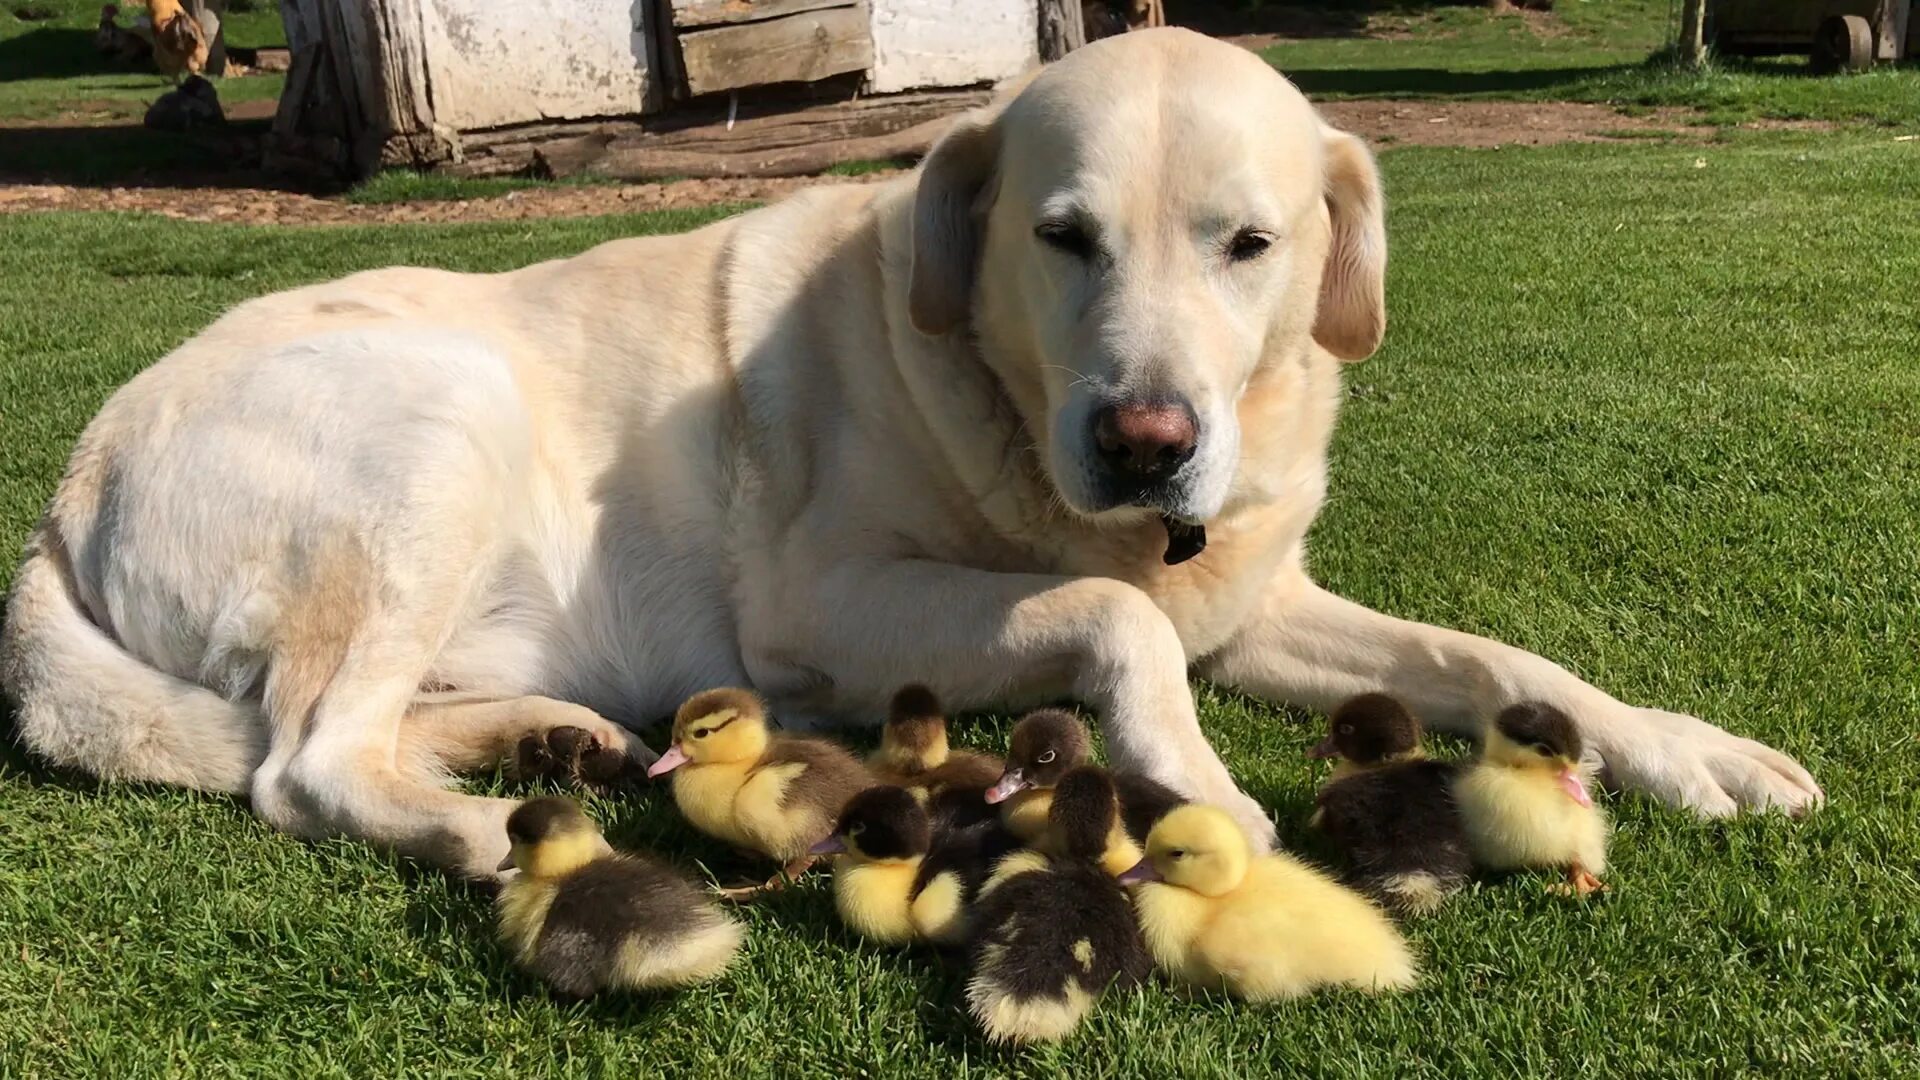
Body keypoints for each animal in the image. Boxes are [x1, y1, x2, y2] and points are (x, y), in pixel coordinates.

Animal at [7, 31, 1820, 876]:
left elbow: (1497, 659)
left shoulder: (1258, 602)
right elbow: (1117, 618)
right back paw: (471, 829)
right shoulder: (832, 605)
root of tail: (63, 492)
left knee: (356, 721)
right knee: (299, 757)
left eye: (1249, 245)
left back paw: (544, 742)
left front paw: (1692, 752)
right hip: (437, 411)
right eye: (1063, 237)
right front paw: (1199, 786)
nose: (1147, 440)